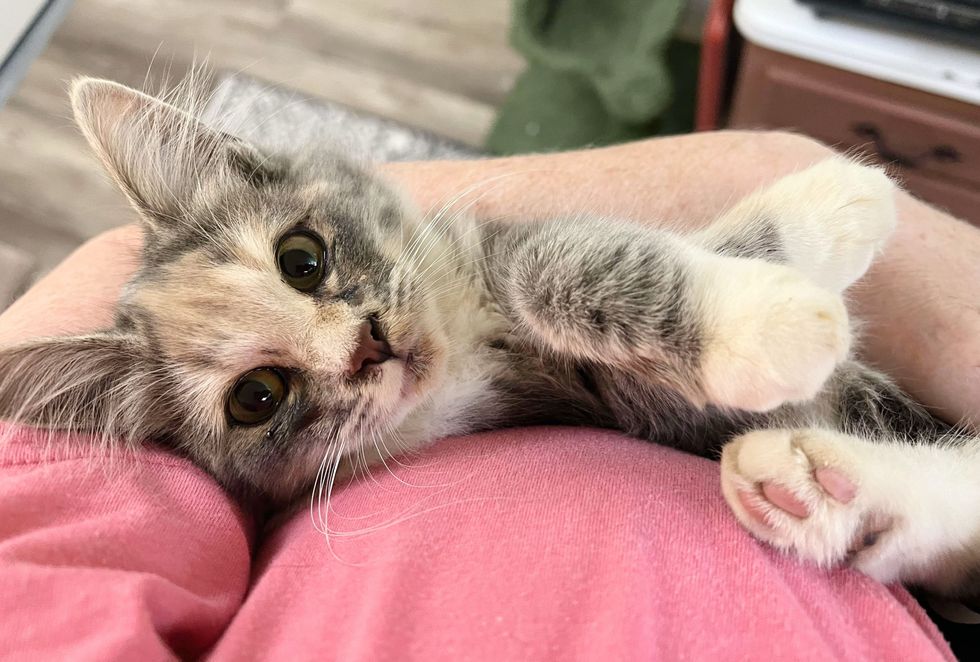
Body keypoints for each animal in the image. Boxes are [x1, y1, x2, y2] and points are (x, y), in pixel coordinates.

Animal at [0, 75, 976, 604]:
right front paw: (781, 320)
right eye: (257, 397)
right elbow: (582, 269)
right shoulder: (621, 403)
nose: (368, 347)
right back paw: (816, 489)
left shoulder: (498, 253)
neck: (475, 346)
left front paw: (836, 205)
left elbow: (596, 251)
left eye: (301, 259)